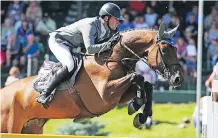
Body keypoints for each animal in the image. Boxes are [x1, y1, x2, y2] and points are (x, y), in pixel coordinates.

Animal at [0, 22, 184, 134]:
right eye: (165, 50)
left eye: (176, 48)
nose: (178, 79)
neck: (112, 60)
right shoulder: (103, 97)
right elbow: (136, 76)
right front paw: (138, 106)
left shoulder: (117, 97)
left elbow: (146, 84)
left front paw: (140, 113)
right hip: (10, 127)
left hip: (31, 127)